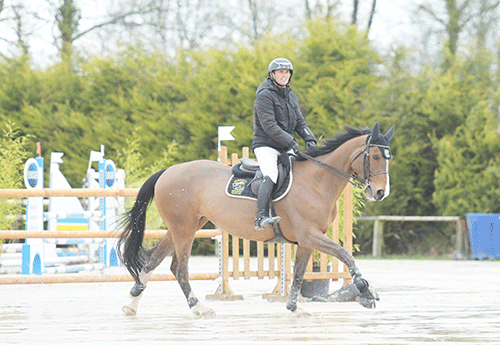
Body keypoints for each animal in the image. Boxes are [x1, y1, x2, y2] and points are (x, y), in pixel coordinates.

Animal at [117, 121, 394, 318]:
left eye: (388, 158)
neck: (318, 180)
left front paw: (295, 307)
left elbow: (299, 273)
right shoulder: (310, 236)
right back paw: (199, 308)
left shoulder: (307, 241)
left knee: (153, 259)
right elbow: (346, 255)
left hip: (186, 226)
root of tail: (168, 171)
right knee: (179, 268)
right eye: (375, 157)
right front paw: (366, 291)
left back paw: (131, 305)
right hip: (183, 229)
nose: (380, 192)